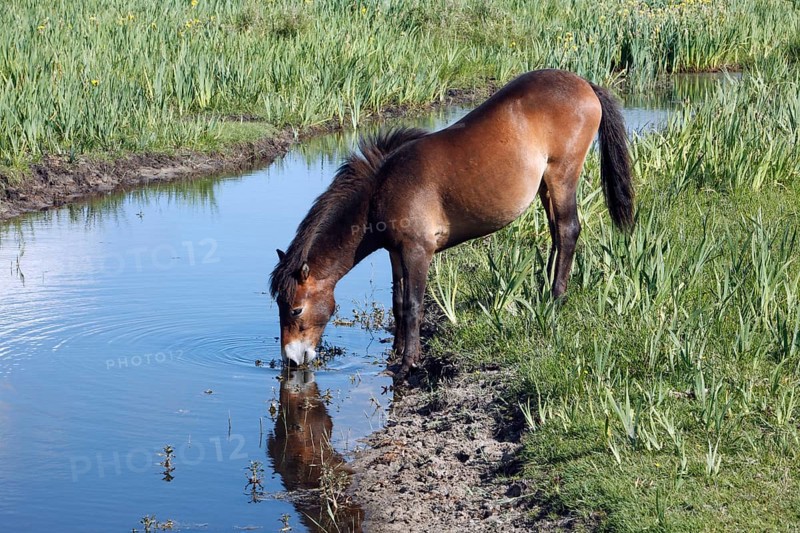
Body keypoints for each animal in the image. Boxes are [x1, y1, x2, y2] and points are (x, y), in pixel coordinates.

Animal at [270, 69, 634, 378]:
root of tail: (585, 84)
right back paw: (545, 292)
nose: (291, 360)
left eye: (296, 310)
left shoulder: (418, 251)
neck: (381, 189)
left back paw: (556, 298)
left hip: (562, 176)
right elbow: (398, 302)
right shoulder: (396, 253)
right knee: (557, 234)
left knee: (568, 230)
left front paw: (409, 363)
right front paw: (395, 354)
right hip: (546, 185)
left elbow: (414, 305)